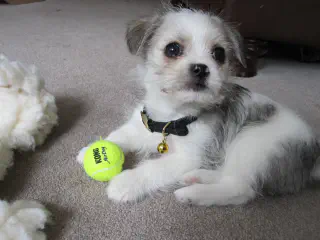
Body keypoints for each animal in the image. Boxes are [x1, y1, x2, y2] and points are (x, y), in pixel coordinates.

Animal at [77, 7, 320, 206]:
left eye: (219, 54)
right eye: (172, 49)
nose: (201, 68)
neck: (170, 119)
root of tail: (313, 157)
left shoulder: (186, 157)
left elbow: (154, 168)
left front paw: (125, 183)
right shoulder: (140, 126)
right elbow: (119, 135)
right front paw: (89, 150)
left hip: (253, 143)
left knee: (240, 189)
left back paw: (193, 194)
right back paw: (198, 177)